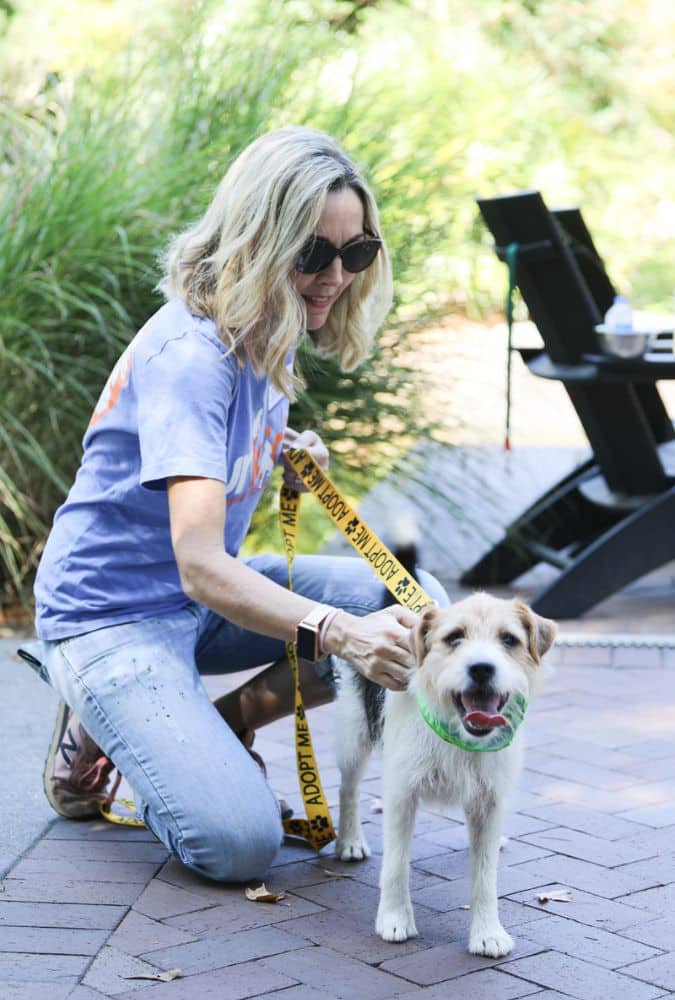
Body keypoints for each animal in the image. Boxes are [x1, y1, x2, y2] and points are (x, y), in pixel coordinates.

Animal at [332, 588, 556, 956]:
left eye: (509, 639)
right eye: (454, 637)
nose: (481, 668)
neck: (458, 733)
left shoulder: (489, 800)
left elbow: (485, 876)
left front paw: (487, 932)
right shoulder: (401, 795)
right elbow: (396, 864)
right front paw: (394, 919)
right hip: (353, 736)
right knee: (347, 789)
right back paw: (349, 841)